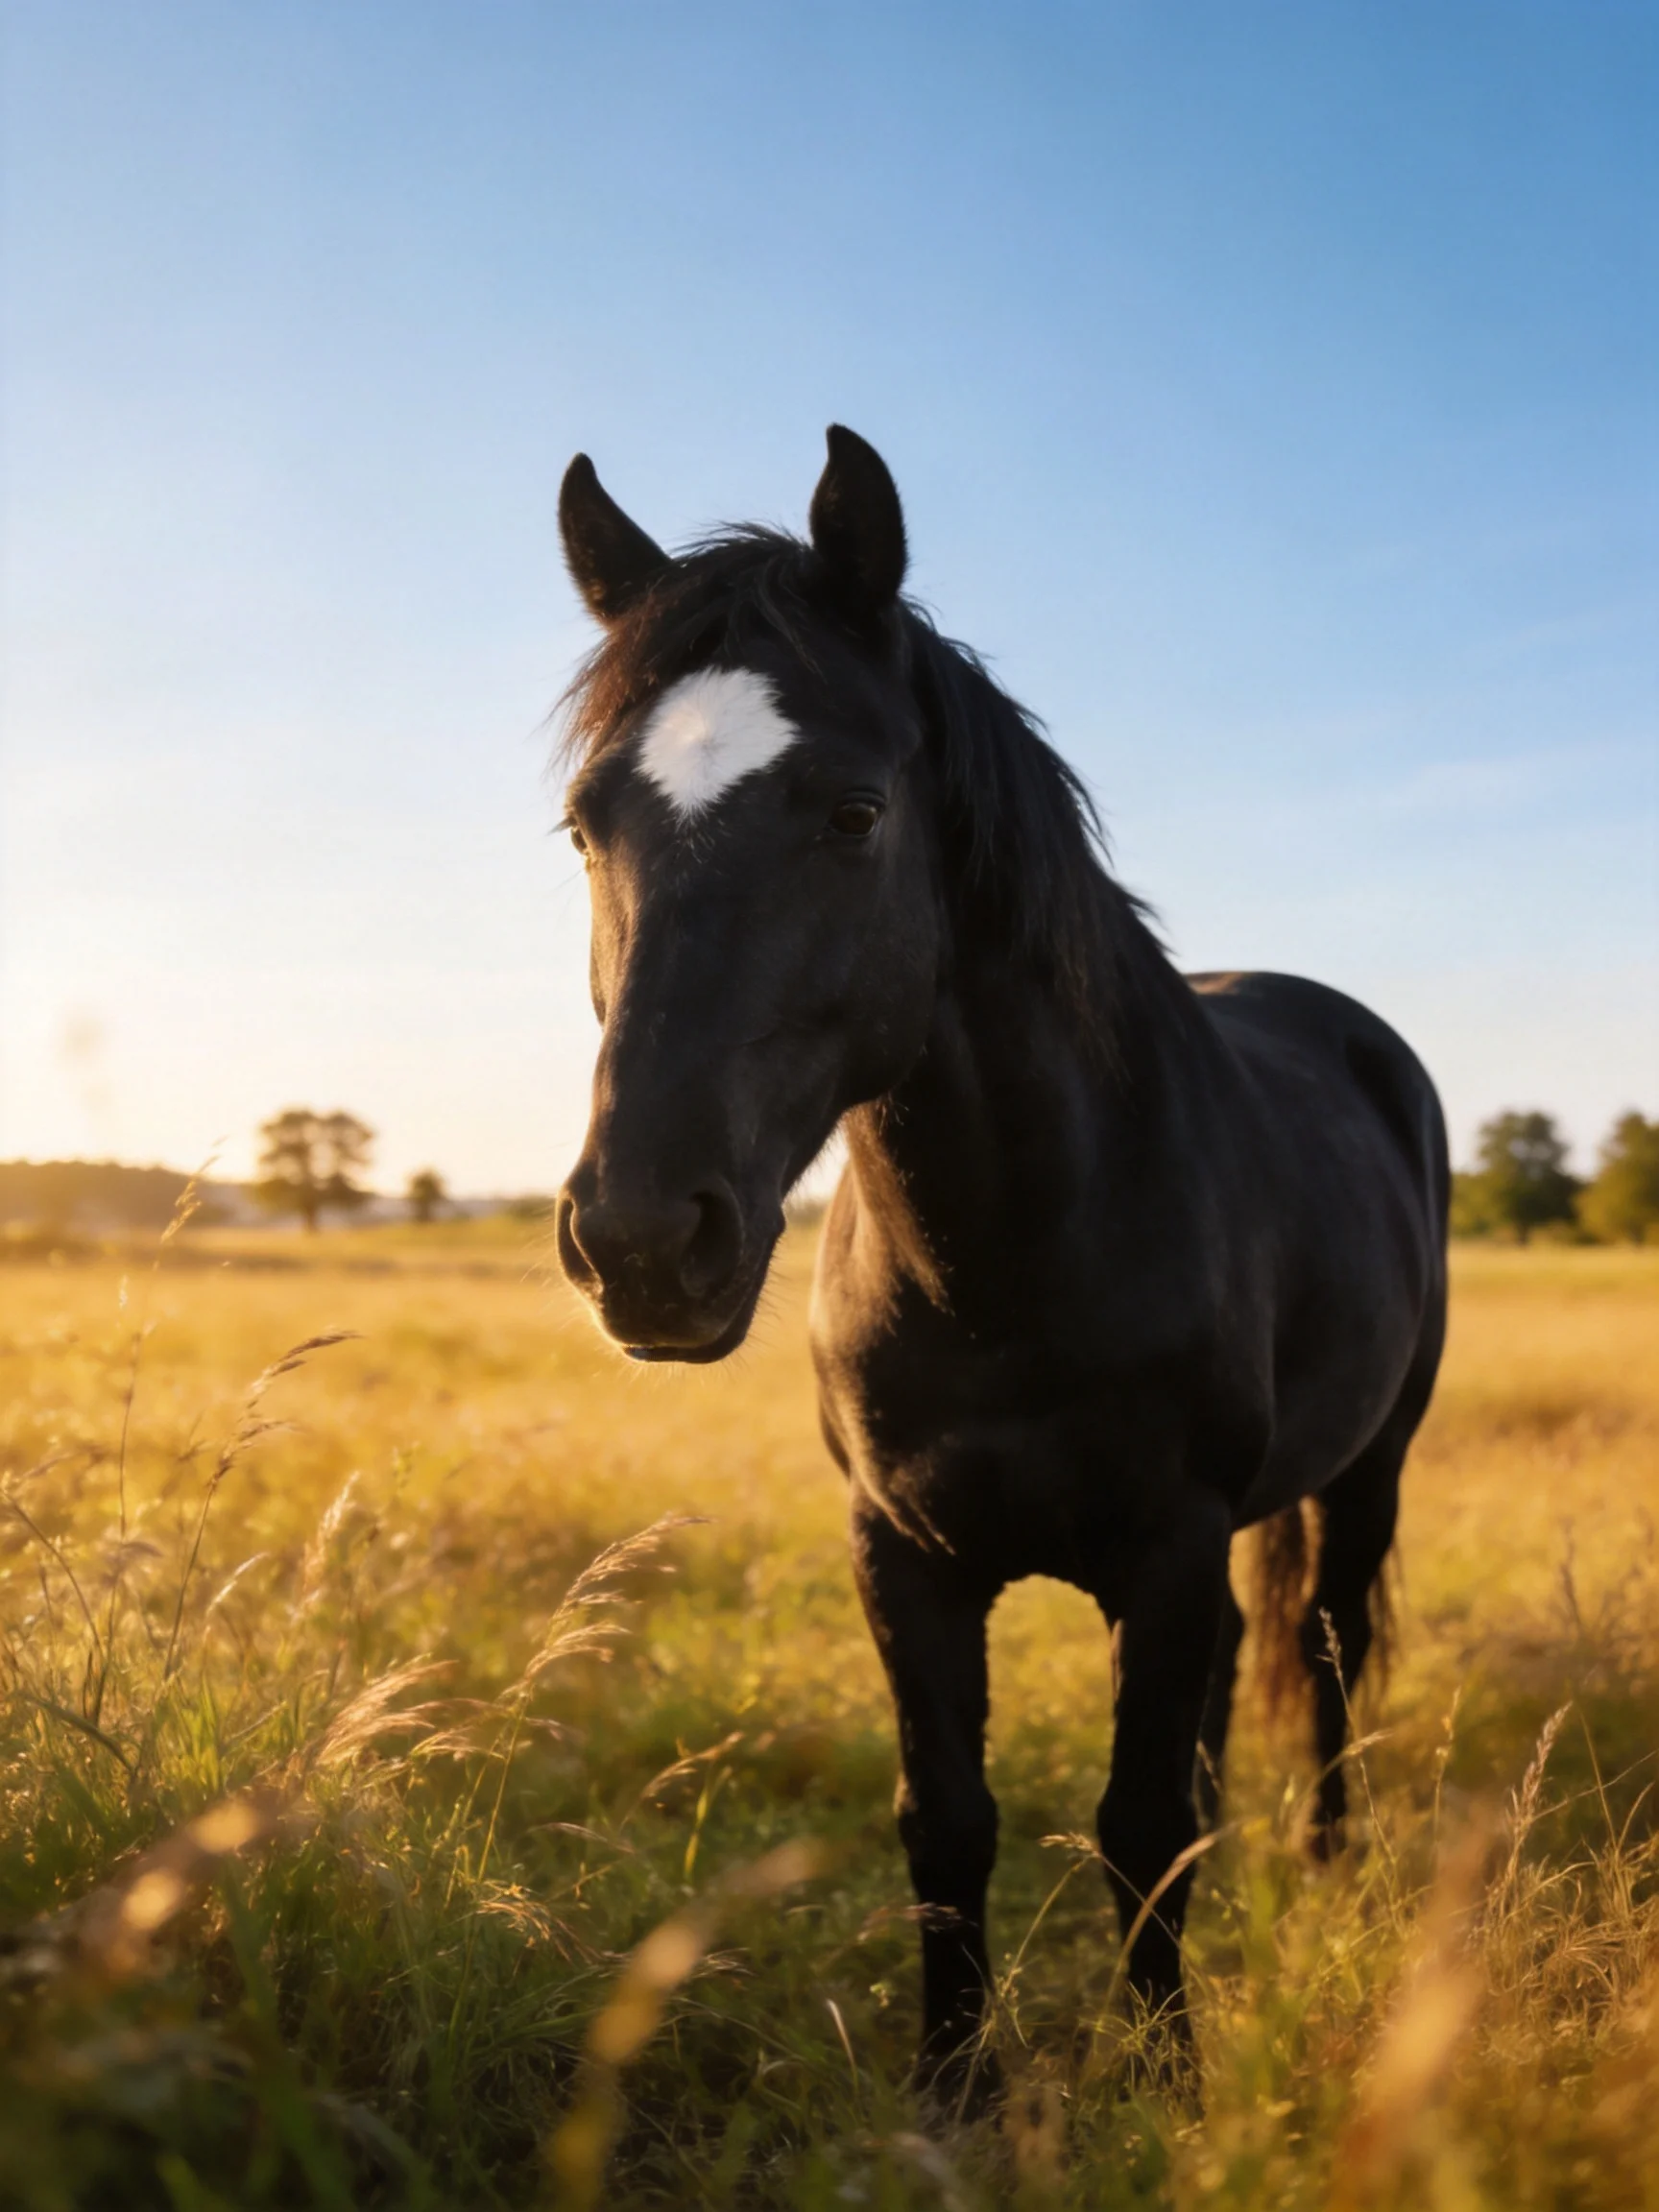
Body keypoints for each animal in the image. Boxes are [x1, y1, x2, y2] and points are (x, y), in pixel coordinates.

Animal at [551, 426, 1449, 2102]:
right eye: (589, 823)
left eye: (854, 812)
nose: (639, 1241)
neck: (1011, 1263)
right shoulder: (902, 1557)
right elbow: (947, 1824)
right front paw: (952, 2085)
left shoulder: (1168, 1548)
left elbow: (1137, 1825)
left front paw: (1164, 2079)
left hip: (1369, 1470)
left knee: (1329, 1652)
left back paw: (1326, 1869)